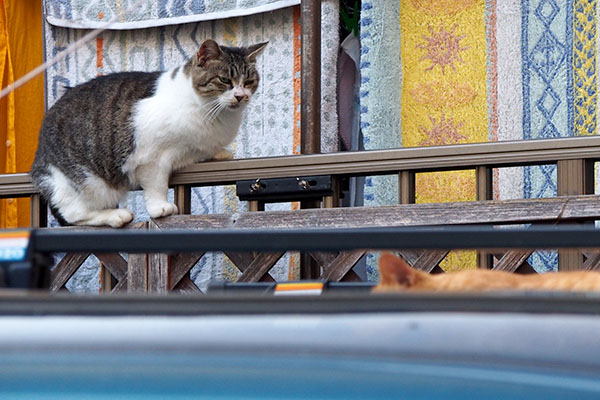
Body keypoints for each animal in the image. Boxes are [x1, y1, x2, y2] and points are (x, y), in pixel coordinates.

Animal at [31, 40, 266, 228]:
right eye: (225, 80)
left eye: (248, 82)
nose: (240, 96)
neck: (214, 114)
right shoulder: (150, 158)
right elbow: (157, 184)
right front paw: (160, 207)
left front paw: (220, 153)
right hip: (83, 182)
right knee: (74, 214)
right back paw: (117, 215)